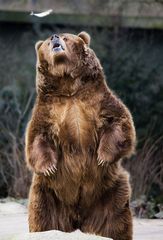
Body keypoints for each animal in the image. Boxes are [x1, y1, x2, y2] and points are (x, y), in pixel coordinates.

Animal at [24, 31, 136, 240]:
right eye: (46, 42)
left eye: (66, 37)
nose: (55, 37)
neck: (68, 87)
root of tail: (78, 217)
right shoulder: (48, 110)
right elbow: (38, 137)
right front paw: (49, 166)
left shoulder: (99, 101)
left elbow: (119, 122)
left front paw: (102, 156)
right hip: (47, 193)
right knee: (43, 216)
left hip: (110, 190)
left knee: (115, 220)